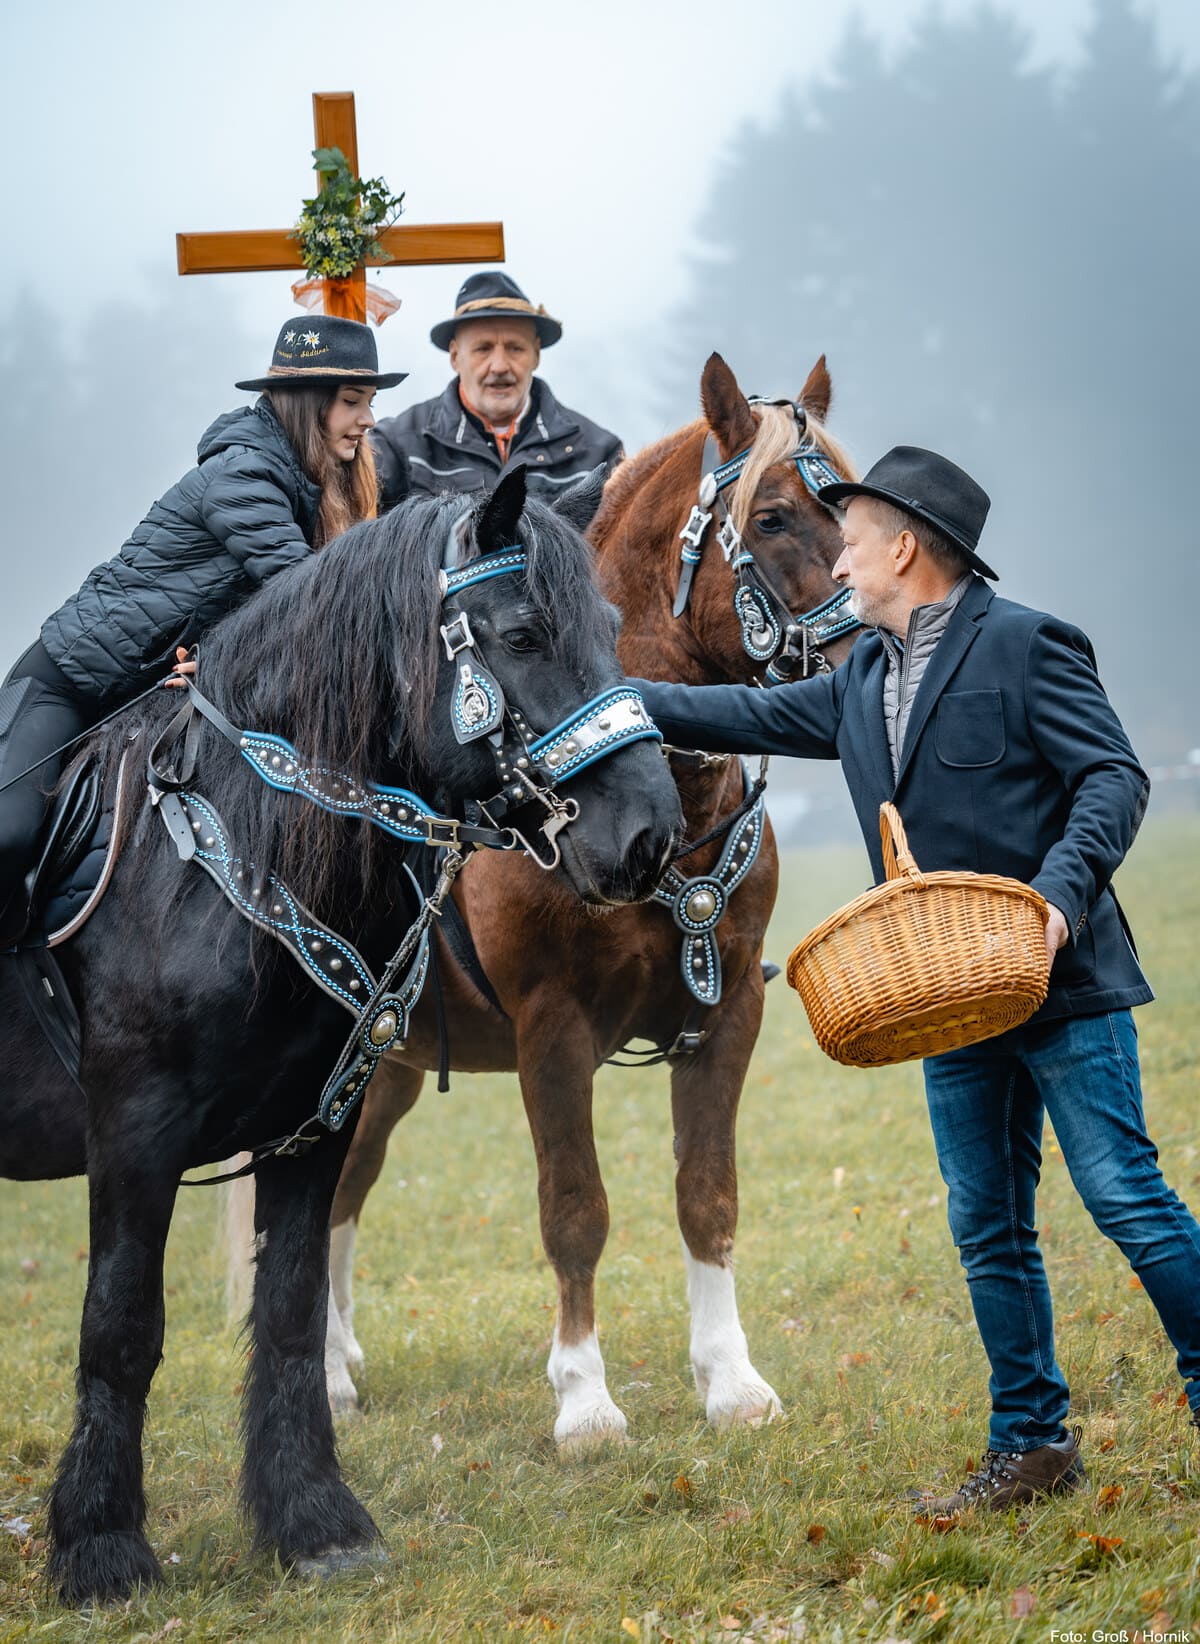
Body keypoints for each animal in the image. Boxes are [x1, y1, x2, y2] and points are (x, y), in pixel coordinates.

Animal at [0, 466, 681, 1605]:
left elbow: (287, 1311)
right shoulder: (134, 1130)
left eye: (612, 628)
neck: (230, 853)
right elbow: (122, 1325)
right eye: (523, 634)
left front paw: (314, 1520)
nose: (648, 837)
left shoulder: (313, 1126)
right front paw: (100, 1547)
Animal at [293, 352, 861, 1442]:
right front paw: (585, 1402)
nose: (890, 629)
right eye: (772, 517)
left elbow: (707, 1196)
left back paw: (337, 1359)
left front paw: (731, 1381)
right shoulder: (551, 1030)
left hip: (387, 1065)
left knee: (344, 1188)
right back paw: (324, 1377)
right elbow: (575, 1211)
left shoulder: (729, 1012)